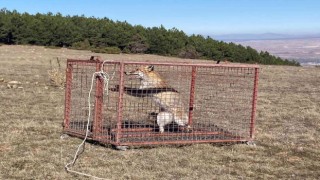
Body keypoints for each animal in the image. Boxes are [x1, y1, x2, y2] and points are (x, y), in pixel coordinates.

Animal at [63, 58, 260, 147]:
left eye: (136, 69)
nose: (126, 72)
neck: (147, 81)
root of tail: (172, 117)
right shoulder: (142, 92)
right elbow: (128, 89)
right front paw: (114, 87)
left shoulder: (143, 92)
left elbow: (128, 89)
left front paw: (117, 86)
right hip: (162, 118)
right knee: (163, 127)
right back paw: (159, 133)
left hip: (180, 119)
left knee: (186, 125)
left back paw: (188, 130)